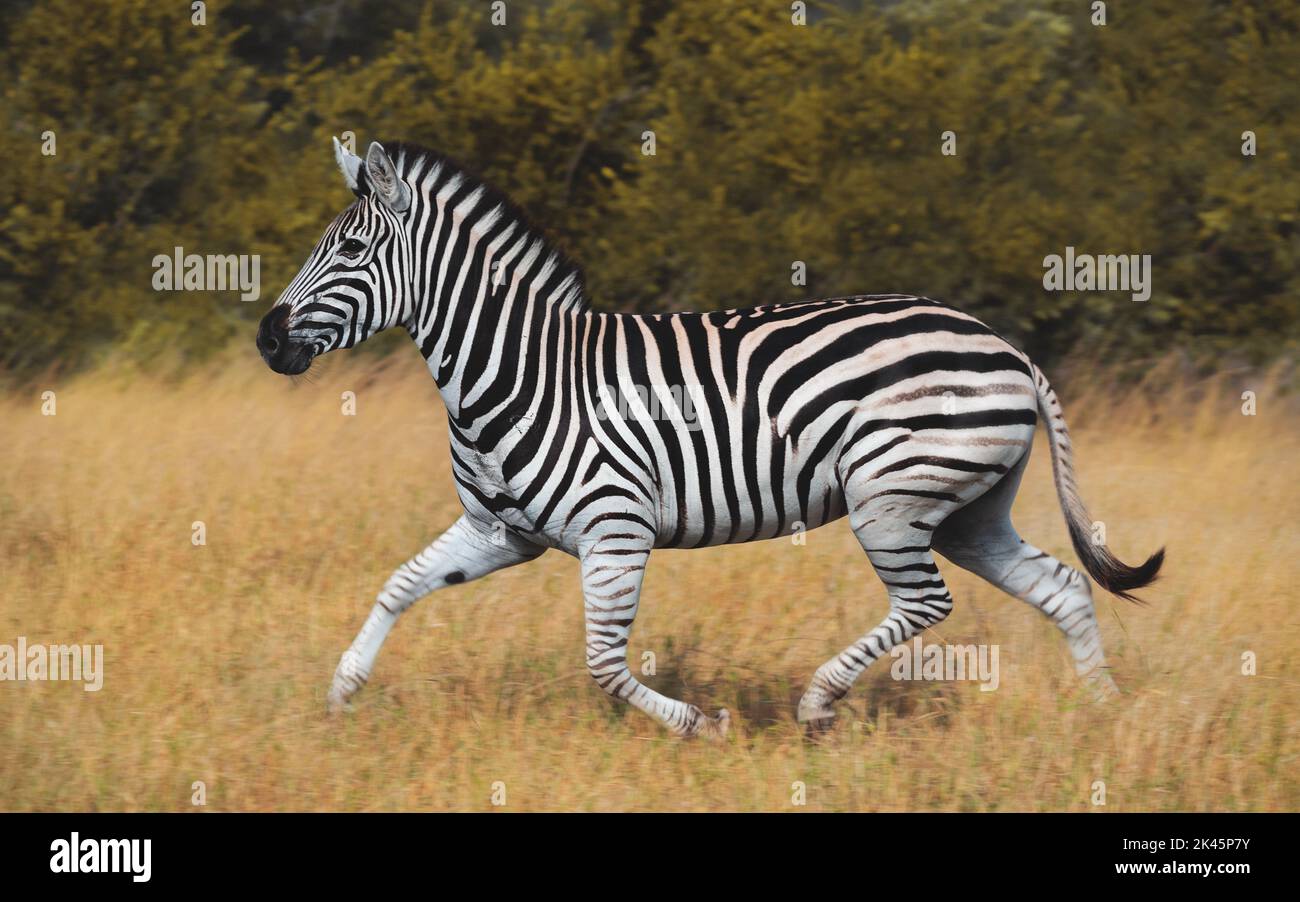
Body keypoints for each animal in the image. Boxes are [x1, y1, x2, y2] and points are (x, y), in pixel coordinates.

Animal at [256, 138, 1164, 737]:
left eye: (352, 248)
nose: (268, 340)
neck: (518, 370)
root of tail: (1006, 346)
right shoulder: (497, 532)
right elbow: (398, 586)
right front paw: (341, 694)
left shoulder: (615, 530)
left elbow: (603, 664)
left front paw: (702, 725)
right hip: (966, 509)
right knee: (1062, 588)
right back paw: (1104, 716)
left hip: (892, 498)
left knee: (927, 601)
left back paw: (818, 704)